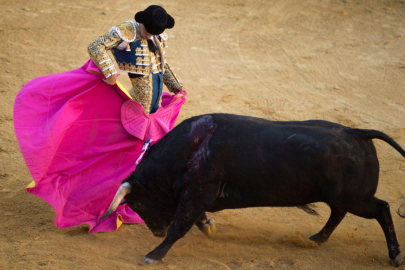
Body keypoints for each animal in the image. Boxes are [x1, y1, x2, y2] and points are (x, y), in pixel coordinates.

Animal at [102, 113, 404, 266]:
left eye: (138, 205)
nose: (156, 231)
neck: (192, 147)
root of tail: (358, 132)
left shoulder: (197, 193)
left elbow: (179, 226)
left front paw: (154, 255)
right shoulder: (196, 195)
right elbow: (193, 219)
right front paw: (208, 226)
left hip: (356, 198)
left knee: (381, 209)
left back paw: (395, 256)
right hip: (344, 197)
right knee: (338, 213)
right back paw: (316, 239)